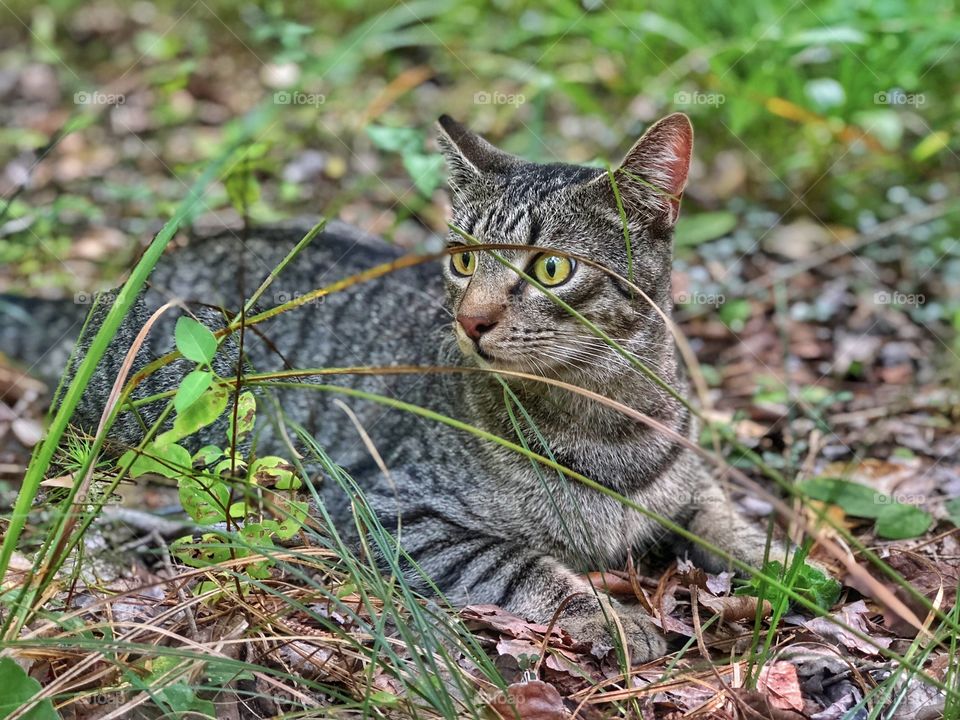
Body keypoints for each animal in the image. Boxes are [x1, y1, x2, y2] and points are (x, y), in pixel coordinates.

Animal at [3, 115, 788, 660]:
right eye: (464, 259)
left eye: (551, 269)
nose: (472, 320)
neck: (603, 420)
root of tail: (115, 289)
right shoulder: (386, 506)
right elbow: (524, 567)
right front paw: (613, 619)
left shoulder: (689, 488)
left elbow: (732, 524)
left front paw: (789, 568)